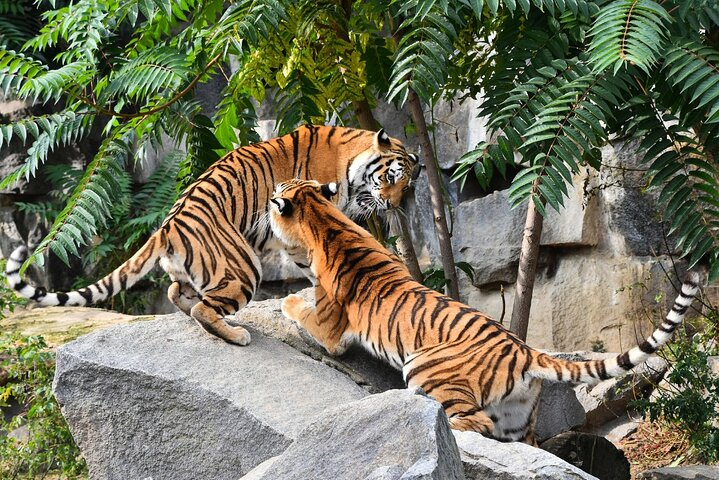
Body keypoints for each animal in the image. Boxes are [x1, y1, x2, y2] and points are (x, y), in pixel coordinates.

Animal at [5, 125, 418, 346]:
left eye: (407, 184)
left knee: (179, 293)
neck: (351, 160)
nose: (394, 204)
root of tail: (166, 226)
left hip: (200, 270)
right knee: (203, 307)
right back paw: (237, 335)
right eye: (392, 177)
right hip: (243, 267)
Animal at [268, 178, 701, 445]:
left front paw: (286, 301)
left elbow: (303, 311)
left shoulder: (331, 331)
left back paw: (443, 424)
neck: (322, 217)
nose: (269, 195)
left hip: (423, 366)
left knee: (474, 421)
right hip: (519, 418)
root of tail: (527, 351)